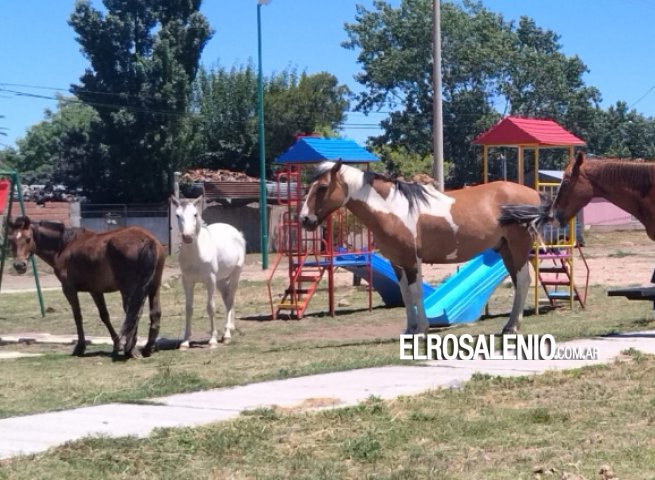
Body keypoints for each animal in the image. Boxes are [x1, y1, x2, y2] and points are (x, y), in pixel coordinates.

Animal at [6, 216, 166, 358]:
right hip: (153, 286)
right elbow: (104, 316)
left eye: (28, 239)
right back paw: (146, 349)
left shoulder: (69, 289)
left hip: (128, 290)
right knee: (154, 313)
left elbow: (78, 316)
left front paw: (80, 347)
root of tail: (147, 240)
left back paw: (130, 349)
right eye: (10, 240)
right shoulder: (95, 291)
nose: (19, 265)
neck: (65, 245)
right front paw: (116, 344)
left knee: (133, 314)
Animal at [171, 196, 246, 347]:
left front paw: (212, 340)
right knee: (227, 299)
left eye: (195, 214)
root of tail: (237, 233)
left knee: (230, 300)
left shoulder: (210, 280)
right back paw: (229, 329)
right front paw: (185, 342)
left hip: (235, 274)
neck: (196, 254)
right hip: (221, 280)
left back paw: (227, 335)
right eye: (177, 215)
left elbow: (211, 307)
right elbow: (188, 308)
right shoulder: (187, 281)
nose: (187, 237)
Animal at [299, 161, 550, 335]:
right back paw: (510, 325)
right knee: (518, 282)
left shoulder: (411, 260)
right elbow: (405, 294)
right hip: (506, 249)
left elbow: (416, 292)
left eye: (322, 187)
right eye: (309, 187)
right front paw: (410, 328)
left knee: (523, 281)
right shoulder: (397, 262)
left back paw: (512, 327)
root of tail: (533, 193)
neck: (392, 208)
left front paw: (421, 328)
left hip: (518, 247)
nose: (304, 219)